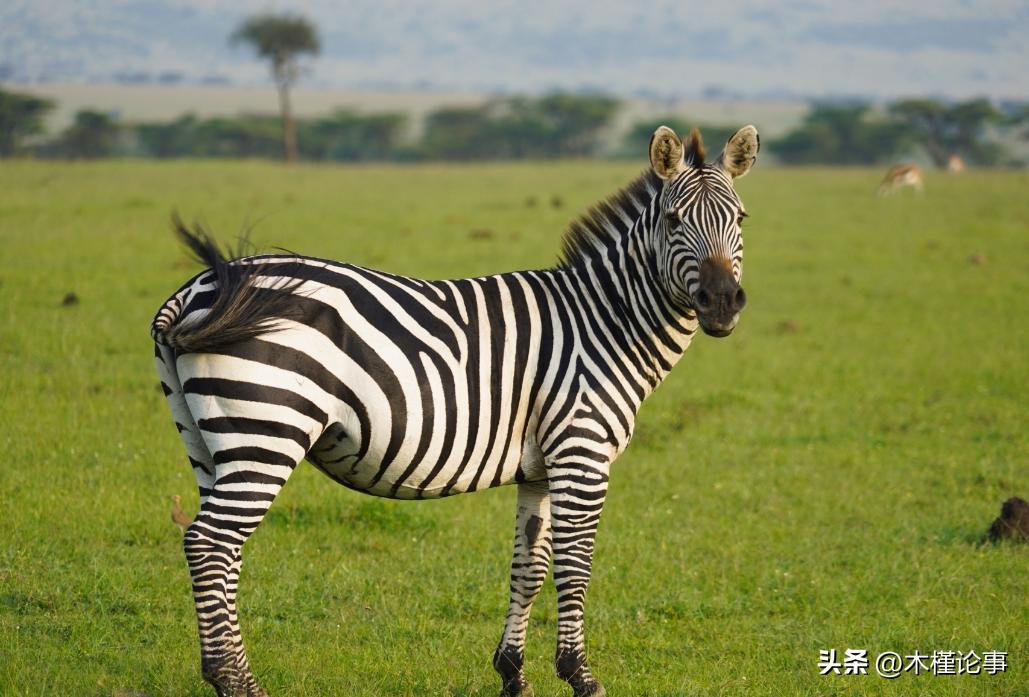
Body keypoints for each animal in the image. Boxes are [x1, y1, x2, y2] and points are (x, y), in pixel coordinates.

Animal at [152, 125, 761, 695]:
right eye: (674, 220)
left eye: (742, 218)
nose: (722, 303)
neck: (603, 321)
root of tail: (201, 287)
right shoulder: (581, 454)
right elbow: (575, 565)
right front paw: (580, 675)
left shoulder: (540, 468)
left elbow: (529, 567)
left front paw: (513, 674)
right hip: (266, 430)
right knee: (210, 545)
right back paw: (237, 682)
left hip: (209, 442)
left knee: (219, 551)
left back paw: (225, 672)